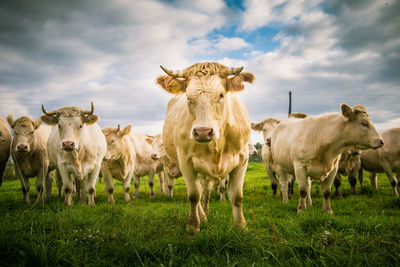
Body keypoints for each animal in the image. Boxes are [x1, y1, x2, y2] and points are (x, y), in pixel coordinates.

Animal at [157, 61, 255, 232]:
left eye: (221, 95)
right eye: (188, 97)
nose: (203, 132)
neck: (217, 146)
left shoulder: (242, 159)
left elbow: (237, 196)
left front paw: (241, 226)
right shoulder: (185, 161)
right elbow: (194, 195)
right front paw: (193, 225)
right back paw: (202, 217)